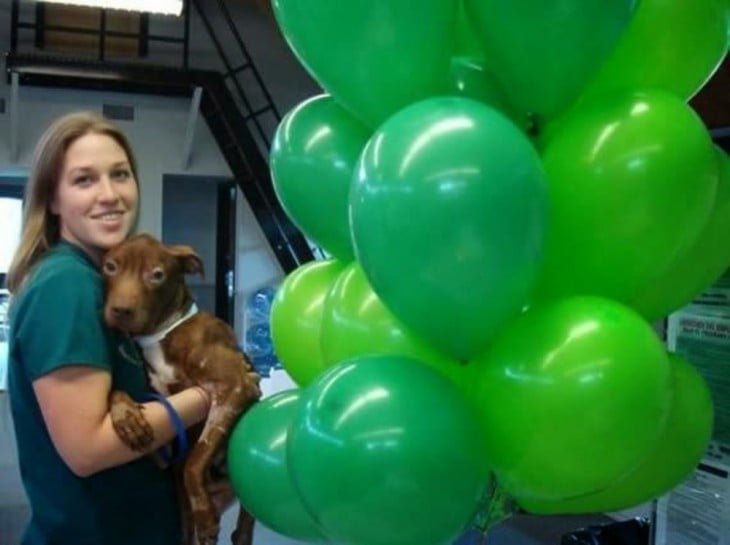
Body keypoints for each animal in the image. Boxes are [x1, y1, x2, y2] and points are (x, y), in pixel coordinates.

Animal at [101, 233, 262, 544]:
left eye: (157, 275)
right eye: (110, 267)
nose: (120, 310)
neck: (162, 334)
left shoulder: (236, 387)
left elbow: (195, 459)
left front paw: (205, 515)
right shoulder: (164, 447)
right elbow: (117, 390)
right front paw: (127, 417)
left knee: (243, 527)